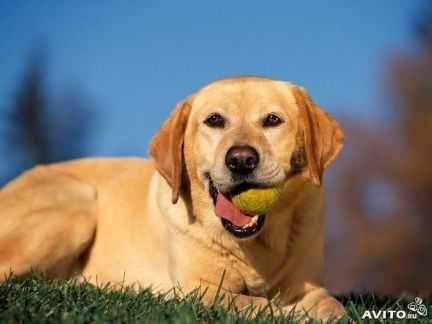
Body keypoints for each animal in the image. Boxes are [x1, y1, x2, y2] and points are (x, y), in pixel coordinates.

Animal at [0, 76, 344, 322]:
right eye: (215, 121)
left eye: (273, 120)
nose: (242, 159)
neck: (255, 247)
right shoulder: (200, 291)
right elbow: (257, 304)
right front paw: (292, 314)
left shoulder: (308, 285)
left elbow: (333, 305)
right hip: (78, 206)